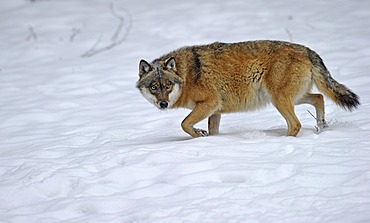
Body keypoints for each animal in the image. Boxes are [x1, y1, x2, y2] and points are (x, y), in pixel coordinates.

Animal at [135, 40, 358, 138]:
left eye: (167, 86)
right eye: (154, 87)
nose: (163, 104)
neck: (187, 75)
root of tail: (308, 50)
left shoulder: (210, 103)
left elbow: (184, 124)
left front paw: (199, 134)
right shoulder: (215, 110)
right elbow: (210, 130)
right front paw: (207, 138)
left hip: (279, 100)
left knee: (296, 124)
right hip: (291, 98)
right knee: (319, 97)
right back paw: (321, 129)